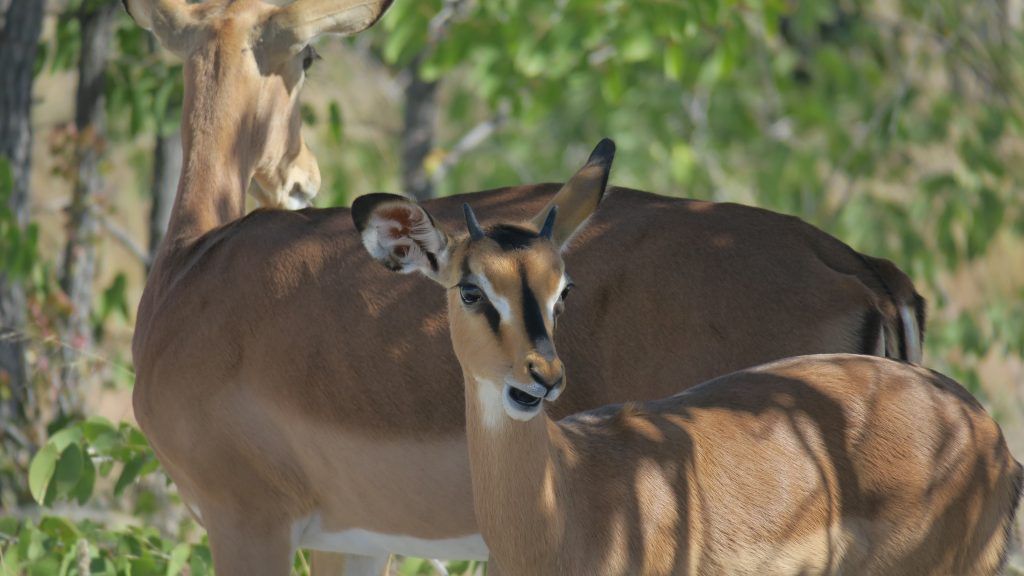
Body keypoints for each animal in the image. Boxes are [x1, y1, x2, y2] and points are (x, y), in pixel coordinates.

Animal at [123, 0, 932, 573]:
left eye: (309, 55)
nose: (303, 178)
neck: (190, 270)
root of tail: (861, 269)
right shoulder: (352, 539)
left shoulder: (249, 522)